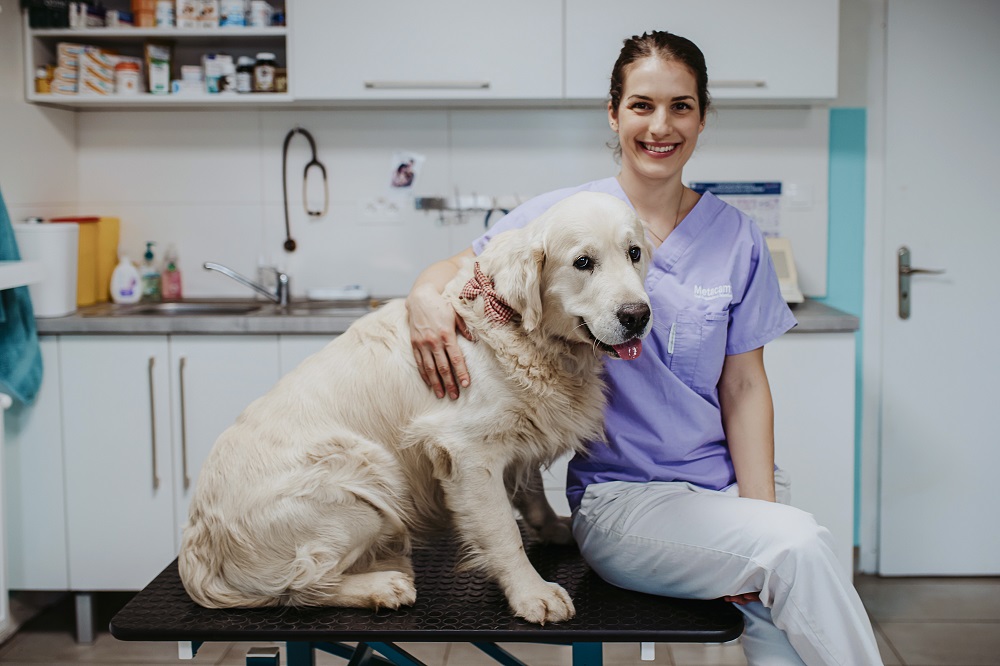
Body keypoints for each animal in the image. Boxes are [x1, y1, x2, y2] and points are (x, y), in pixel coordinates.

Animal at [181, 191, 656, 624]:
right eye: (583, 262)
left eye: (633, 253)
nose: (638, 315)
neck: (518, 328)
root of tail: (198, 542)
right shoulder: (466, 453)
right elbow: (503, 531)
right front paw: (531, 593)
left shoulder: (517, 434)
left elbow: (531, 491)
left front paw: (556, 528)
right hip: (368, 480)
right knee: (301, 585)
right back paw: (383, 584)